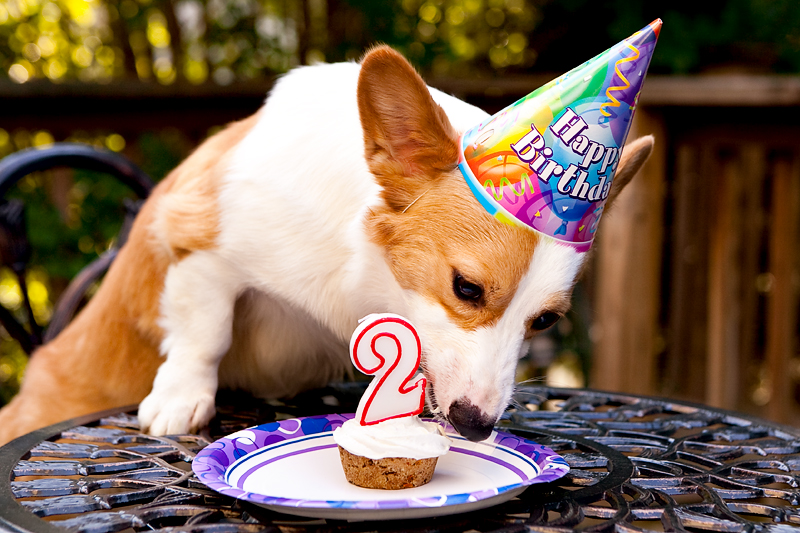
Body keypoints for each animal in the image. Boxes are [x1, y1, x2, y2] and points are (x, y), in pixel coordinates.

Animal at [0, 46, 652, 444]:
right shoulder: (200, 242)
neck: (361, 270)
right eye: (466, 288)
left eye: (544, 322)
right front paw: (181, 400)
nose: (475, 426)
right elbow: (205, 333)